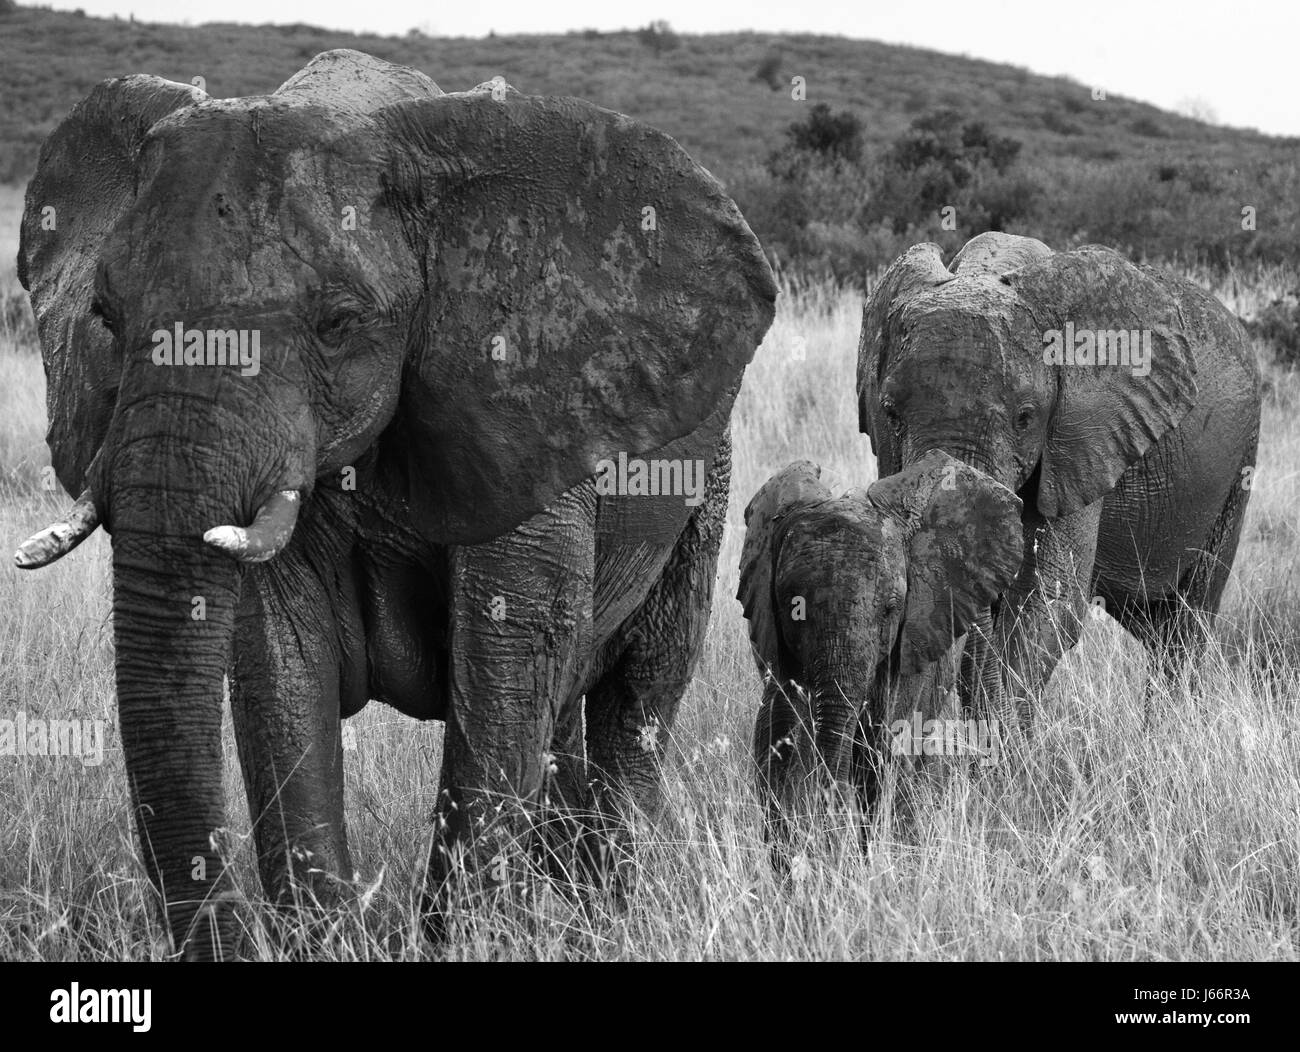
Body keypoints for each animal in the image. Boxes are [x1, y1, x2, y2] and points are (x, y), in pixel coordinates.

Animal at [12, 51, 769, 962]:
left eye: (338, 324)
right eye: (105, 317)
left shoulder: (522, 411)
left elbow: (509, 654)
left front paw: (467, 939)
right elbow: (278, 659)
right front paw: (332, 939)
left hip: (708, 481)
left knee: (637, 699)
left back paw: (606, 919)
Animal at [857, 231, 1263, 723]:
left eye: (1025, 418)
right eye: (891, 413)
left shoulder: (1084, 439)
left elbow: (1049, 601)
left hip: (1238, 466)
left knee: (1187, 620)